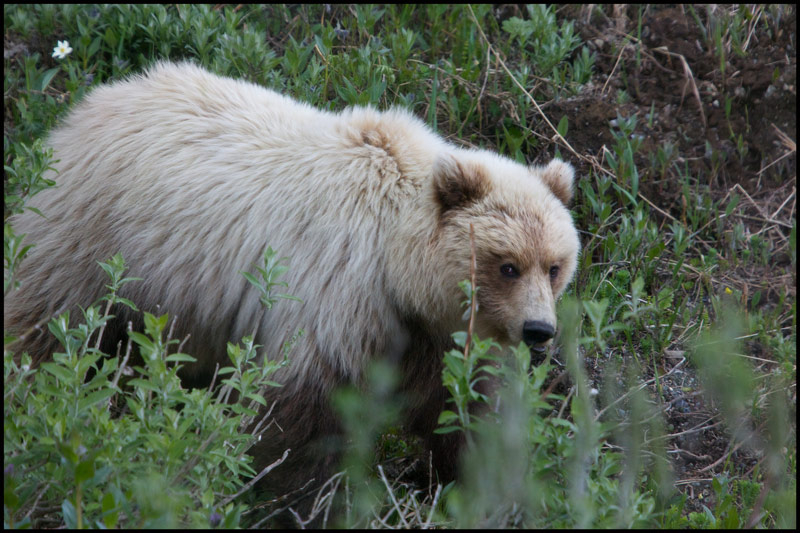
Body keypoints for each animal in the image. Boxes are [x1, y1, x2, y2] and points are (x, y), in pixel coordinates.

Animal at [5, 61, 580, 505]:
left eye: (554, 265)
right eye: (507, 265)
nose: (539, 331)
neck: (396, 264)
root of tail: (91, 102)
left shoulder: (432, 335)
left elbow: (466, 408)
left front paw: (483, 486)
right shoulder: (337, 289)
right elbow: (304, 418)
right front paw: (315, 499)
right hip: (91, 239)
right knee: (46, 322)